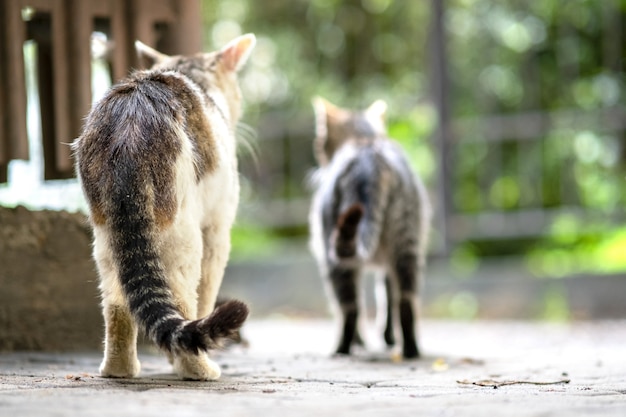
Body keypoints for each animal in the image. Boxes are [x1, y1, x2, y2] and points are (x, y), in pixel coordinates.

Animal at [73, 35, 256, 380]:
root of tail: (130, 120)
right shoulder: (217, 231)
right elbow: (206, 298)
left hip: (106, 236)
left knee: (117, 303)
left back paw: (119, 370)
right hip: (184, 235)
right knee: (182, 300)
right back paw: (199, 368)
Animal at [308, 96, 428, 358]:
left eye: (319, 142)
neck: (364, 138)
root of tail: (370, 158)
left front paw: (360, 342)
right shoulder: (387, 267)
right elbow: (387, 299)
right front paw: (389, 337)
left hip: (333, 256)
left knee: (350, 308)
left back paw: (342, 349)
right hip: (406, 245)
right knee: (405, 301)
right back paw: (410, 348)